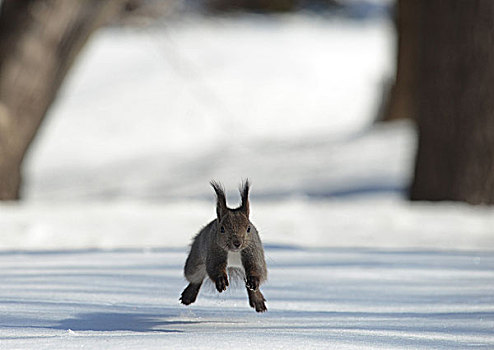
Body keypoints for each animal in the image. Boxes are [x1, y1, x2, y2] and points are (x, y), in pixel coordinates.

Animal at [179, 180, 268, 312]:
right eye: (222, 229)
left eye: (248, 228)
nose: (237, 243)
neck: (233, 252)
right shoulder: (215, 251)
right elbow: (214, 268)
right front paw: (221, 281)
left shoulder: (253, 251)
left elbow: (257, 268)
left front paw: (254, 281)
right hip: (195, 262)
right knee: (196, 277)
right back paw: (188, 296)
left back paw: (257, 300)